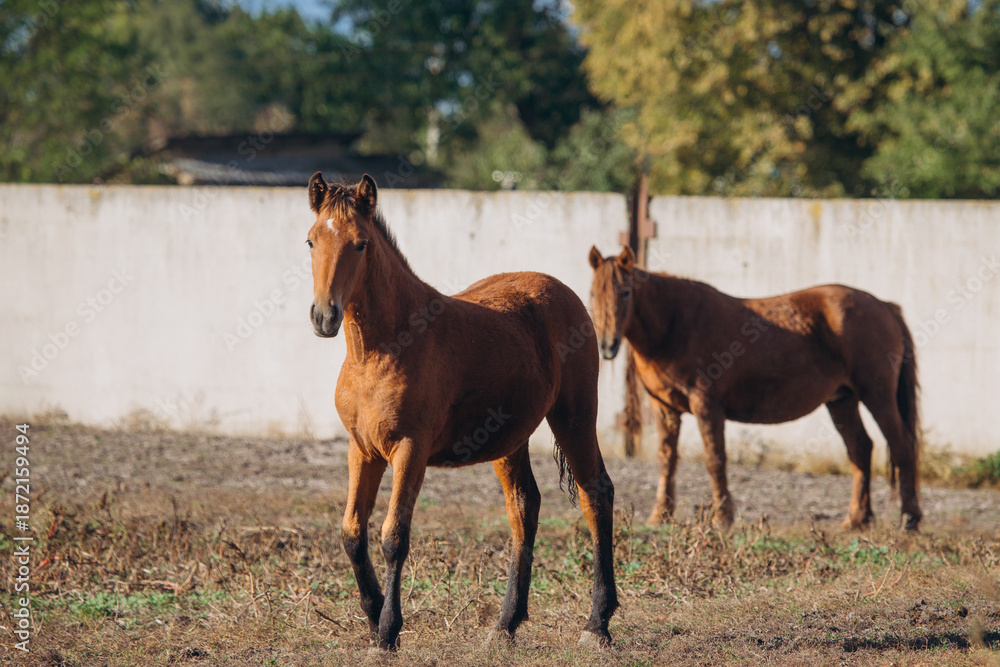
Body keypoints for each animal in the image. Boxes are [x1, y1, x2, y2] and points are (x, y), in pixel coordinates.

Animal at [304, 173, 618, 650]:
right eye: (310, 240)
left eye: (361, 244)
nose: (325, 316)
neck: (382, 349)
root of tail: (565, 292)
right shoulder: (363, 450)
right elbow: (352, 532)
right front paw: (374, 615)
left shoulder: (410, 450)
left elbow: (394, 536)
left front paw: (388, 630)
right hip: (510, 439)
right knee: (523, 507)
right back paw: (506, 624)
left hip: (575, 416)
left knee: (595, 494)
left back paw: (596, 623)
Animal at [588, 246, 921, 532]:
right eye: (592, 294)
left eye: (626, 292)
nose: (607, 346)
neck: (676, 324)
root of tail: (884, 306)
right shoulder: (664, 407)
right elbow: (667, 458)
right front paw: (661, 514)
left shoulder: (706, 405)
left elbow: (715, 458)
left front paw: (722, 518)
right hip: (842, 400)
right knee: (860, 449)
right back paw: (857, 519)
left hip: (877, 396)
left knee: (902, 444)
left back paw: (909, 519)